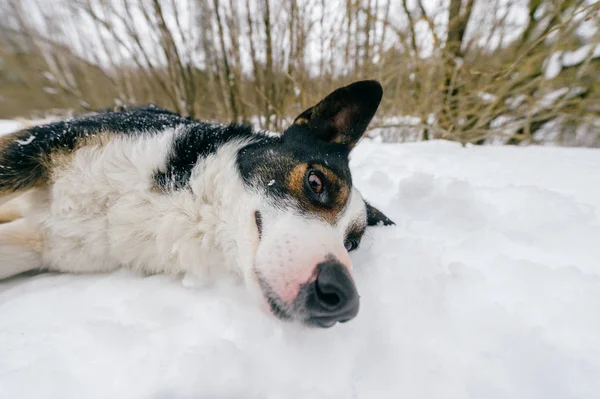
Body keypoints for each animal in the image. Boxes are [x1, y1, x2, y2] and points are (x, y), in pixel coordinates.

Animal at [0, 80, 394, 328]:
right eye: (316, 182)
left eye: (351, 243)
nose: (343, 300)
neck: (186, 207)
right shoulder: (37, 147)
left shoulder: (44, 243)